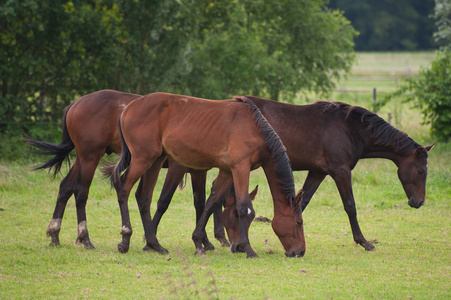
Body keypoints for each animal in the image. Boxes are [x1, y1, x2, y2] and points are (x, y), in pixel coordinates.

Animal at [24, 88, 230, 251]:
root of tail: (77, 103)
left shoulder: (199, 171)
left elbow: (201, 203)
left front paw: (206, 241)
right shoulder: (178, 169)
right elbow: (165, 201)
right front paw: (150, 239)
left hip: (82, 158)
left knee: (66, 188)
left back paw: (55, 234)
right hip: (91, 157)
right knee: (81, 192)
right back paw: (85, 238)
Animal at [104, 92, 306, 258]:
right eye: (298, 222)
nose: (300, 252)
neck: (254, 128)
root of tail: (127, 108)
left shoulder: (227, 170)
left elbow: (211, 203)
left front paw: (198, 242)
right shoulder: (240, 167)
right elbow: (243, 206)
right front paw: (248, 249)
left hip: (155, 160)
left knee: (144, 197)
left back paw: (155, 244)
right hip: (142, 159)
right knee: (123, 189)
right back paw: (125, 239)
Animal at [224, 98, 436, 251]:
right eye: (420, 170)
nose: (419, 202)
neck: (350, 130)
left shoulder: (318, 172)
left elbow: (303, 202)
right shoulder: (340, 171)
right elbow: (350, 206)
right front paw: (363, 242)